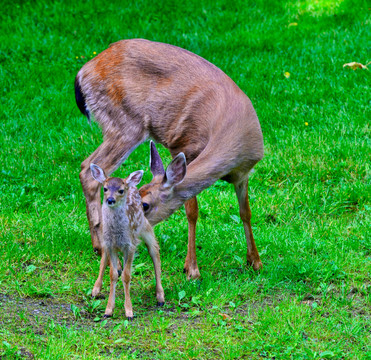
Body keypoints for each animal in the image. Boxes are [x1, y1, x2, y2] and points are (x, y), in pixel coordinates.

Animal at [76, 40, 264, 282]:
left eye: (144, 204)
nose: (131, 227)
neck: (234, 129)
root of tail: (84, 71)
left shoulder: (244, 172)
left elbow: (246, 212)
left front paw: (255, 262)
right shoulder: (183, 145)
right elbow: (192, 211)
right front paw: (191, 269)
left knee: (86, 167)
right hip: (125, 123)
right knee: (89, 172)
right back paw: (103, 249)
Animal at [89, 165, 165, 320]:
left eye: (121, 190)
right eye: (105, 188)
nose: (110, 200)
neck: (117, 233)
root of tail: (133, 186)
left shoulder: (130, 245)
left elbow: (126, 275)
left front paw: (129, 311)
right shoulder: (110, 245)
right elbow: (113, 274)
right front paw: (108, 310)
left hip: (145, 227)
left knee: (155, 251)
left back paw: (160, 297)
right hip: (106, 239)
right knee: (103, 258)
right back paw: (95, 290)